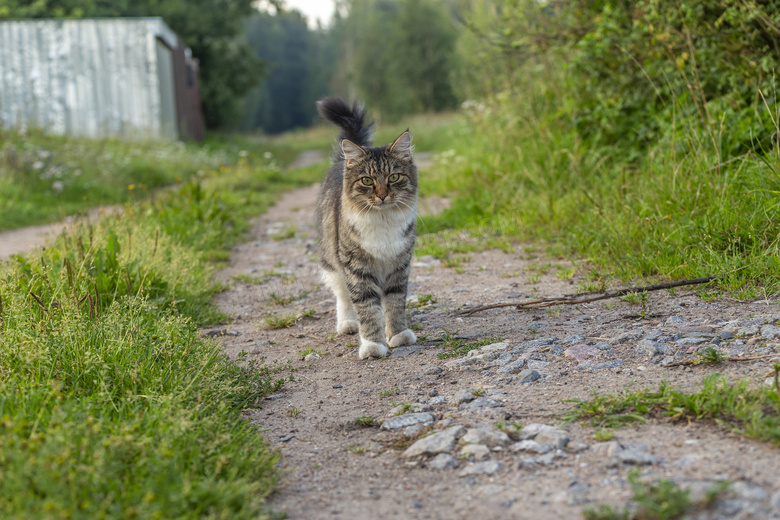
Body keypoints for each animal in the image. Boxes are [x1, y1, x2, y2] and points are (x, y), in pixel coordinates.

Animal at [314, 96, 418, 358]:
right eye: (367, 181)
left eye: (393, 177)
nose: (381, 195)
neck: (382, 222)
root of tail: (342, 160)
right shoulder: (356, 267)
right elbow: (367, 309)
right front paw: (373, 344)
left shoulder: (399, 265)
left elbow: (394, 303)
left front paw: (398, 334)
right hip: (332, 261)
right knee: (342, 296)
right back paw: (348, 324)